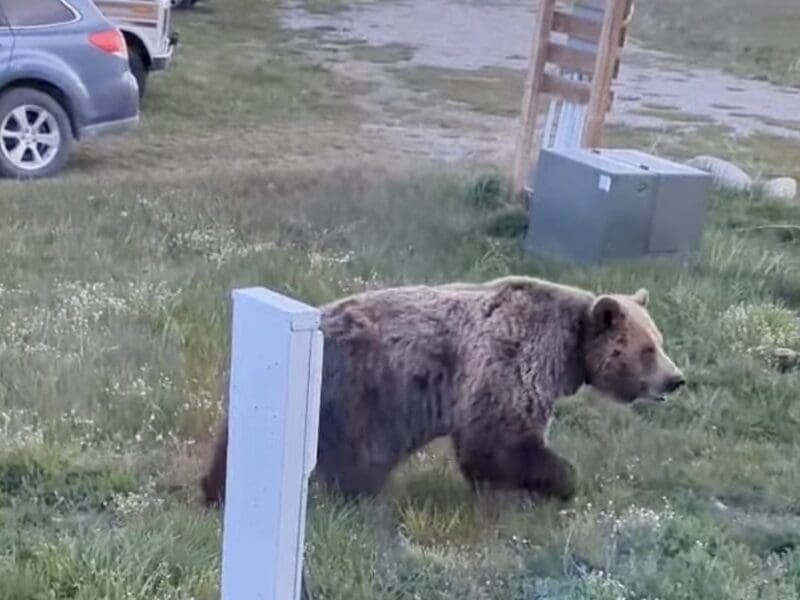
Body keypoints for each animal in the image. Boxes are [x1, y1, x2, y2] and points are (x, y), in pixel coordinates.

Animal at [201, 275, 685, 506]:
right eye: (646, 349)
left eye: (659, 340)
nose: (676, 379)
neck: (569, 351)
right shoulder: (509, 364)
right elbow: (498, 442)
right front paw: (559, 481)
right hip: (365, 391)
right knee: (360, 456)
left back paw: (214, 489)